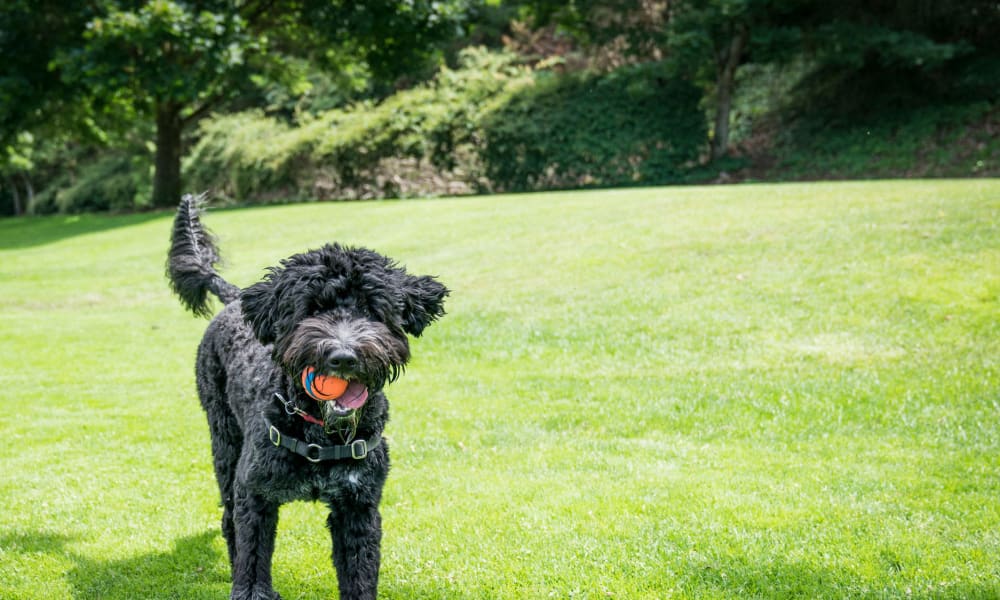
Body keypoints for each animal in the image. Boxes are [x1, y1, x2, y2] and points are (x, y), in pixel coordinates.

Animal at [166, 197, 448, 600]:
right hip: (224, 443)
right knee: (229, 518)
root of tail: (236, 300)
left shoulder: (358, 507)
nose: (343, 356)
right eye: (312, 309)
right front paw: (250, 588)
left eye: (371, 309)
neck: (319, 431)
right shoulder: (254, 494)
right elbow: (252, 558)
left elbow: (359, 574)